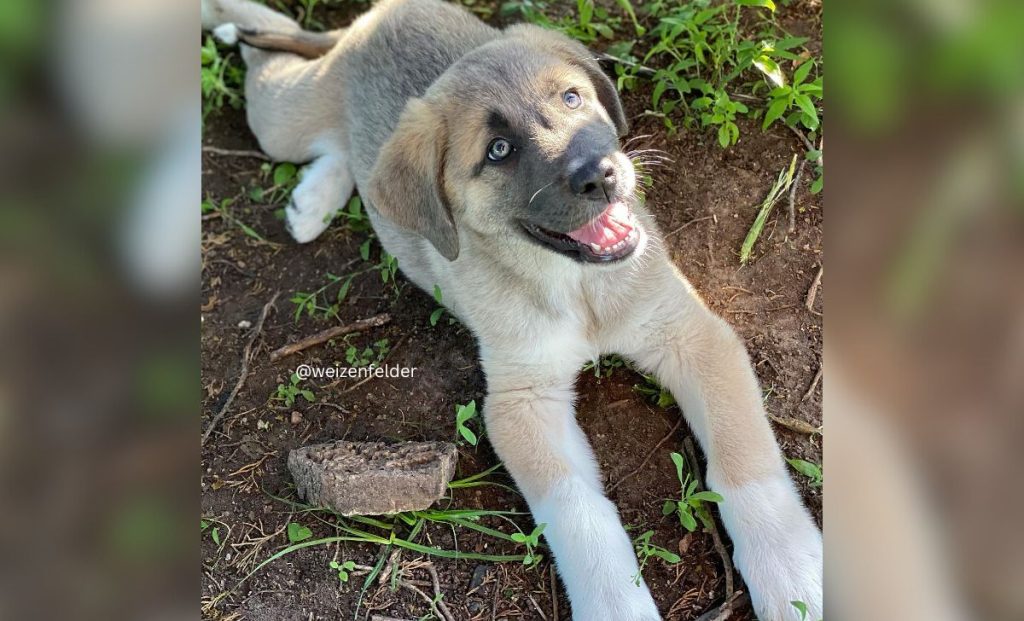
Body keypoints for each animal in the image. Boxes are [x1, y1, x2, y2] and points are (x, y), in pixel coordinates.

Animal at [201, 2, 823, 618]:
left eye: (572, 98)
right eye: (498, 151)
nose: (601, 174)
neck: (577, 287)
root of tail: (376, 17)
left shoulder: (692, 335)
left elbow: (744, 459)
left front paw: (792, 574)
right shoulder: (522, 401)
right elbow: (580, 515)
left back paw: (313, 198)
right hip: (282, 122)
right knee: (272, 67)